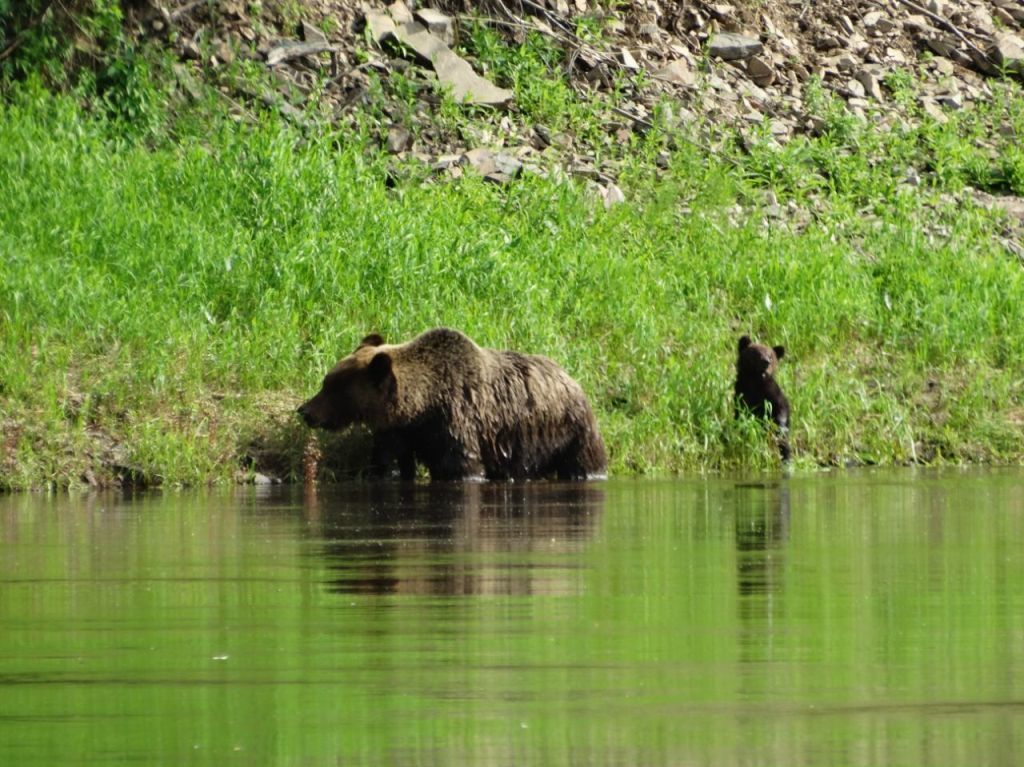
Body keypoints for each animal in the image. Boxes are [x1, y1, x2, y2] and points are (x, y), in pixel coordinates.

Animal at [296, 327, 602, 479]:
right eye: (327, 381)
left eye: (334, 388)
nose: (305, 411)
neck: (422, 405)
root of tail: (572, 378)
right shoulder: (400, 431)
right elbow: (388, 461)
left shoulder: (457, 421)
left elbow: (461, 467)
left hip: (569, 432)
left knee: (584, 462)